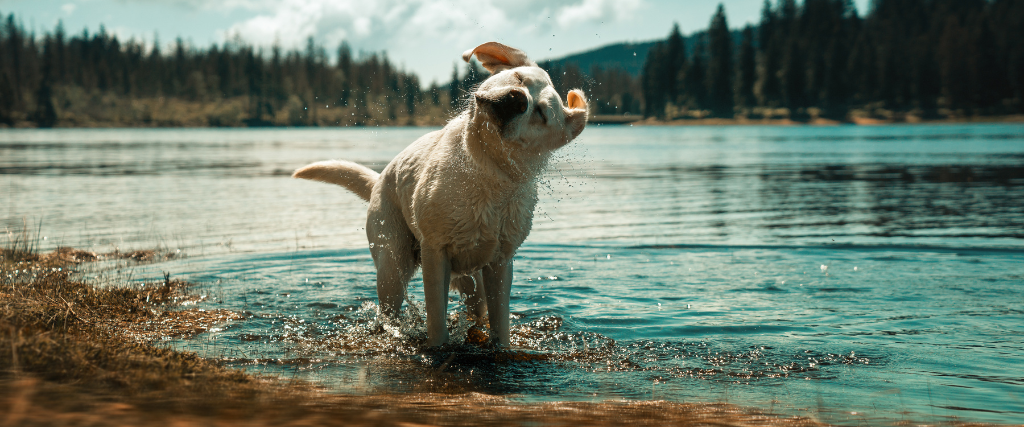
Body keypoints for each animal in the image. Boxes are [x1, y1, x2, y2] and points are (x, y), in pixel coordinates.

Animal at [292, 41, 589, 346]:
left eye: (541, 113)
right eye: (519, 78)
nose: (517, 99)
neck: (484, 168)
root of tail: (378, 181)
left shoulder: (500, 264)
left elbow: (501, 326)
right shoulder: (435, 252)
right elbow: (437, 321)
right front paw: (437, 346)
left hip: (472, 282)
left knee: (476, 309)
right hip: (392, 268)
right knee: (388, 310)